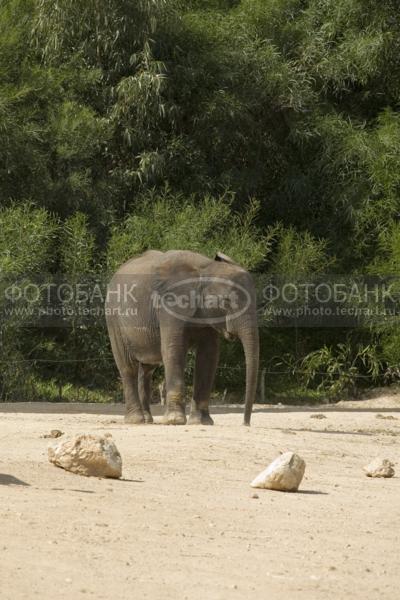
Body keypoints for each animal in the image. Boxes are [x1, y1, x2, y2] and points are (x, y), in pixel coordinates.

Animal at [104, 248, 260, 426]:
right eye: (226, 301)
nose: (246, 423)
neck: (205, 269)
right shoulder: (169, 305)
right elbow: (174, 350)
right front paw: (175, 420)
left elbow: (209, 356)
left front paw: (201, 422)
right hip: (113, 318)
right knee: (128, 366)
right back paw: (135, 420)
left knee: (147, 370)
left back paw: (147, 420)